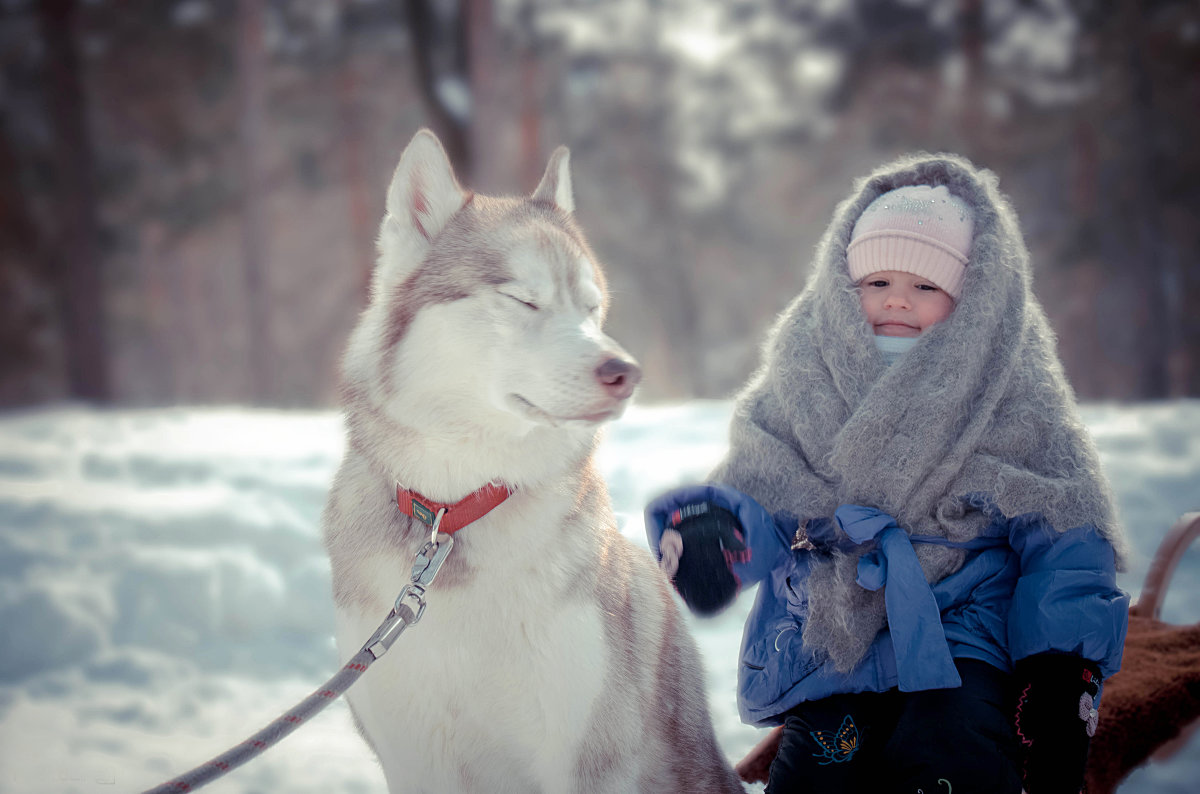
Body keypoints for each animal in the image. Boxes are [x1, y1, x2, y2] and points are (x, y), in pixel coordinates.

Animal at [321, 131, 739, 794]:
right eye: (523, 298)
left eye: (591, 308)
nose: (626, 372)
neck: (456, 514)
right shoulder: (415, 758)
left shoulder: (584, 756)